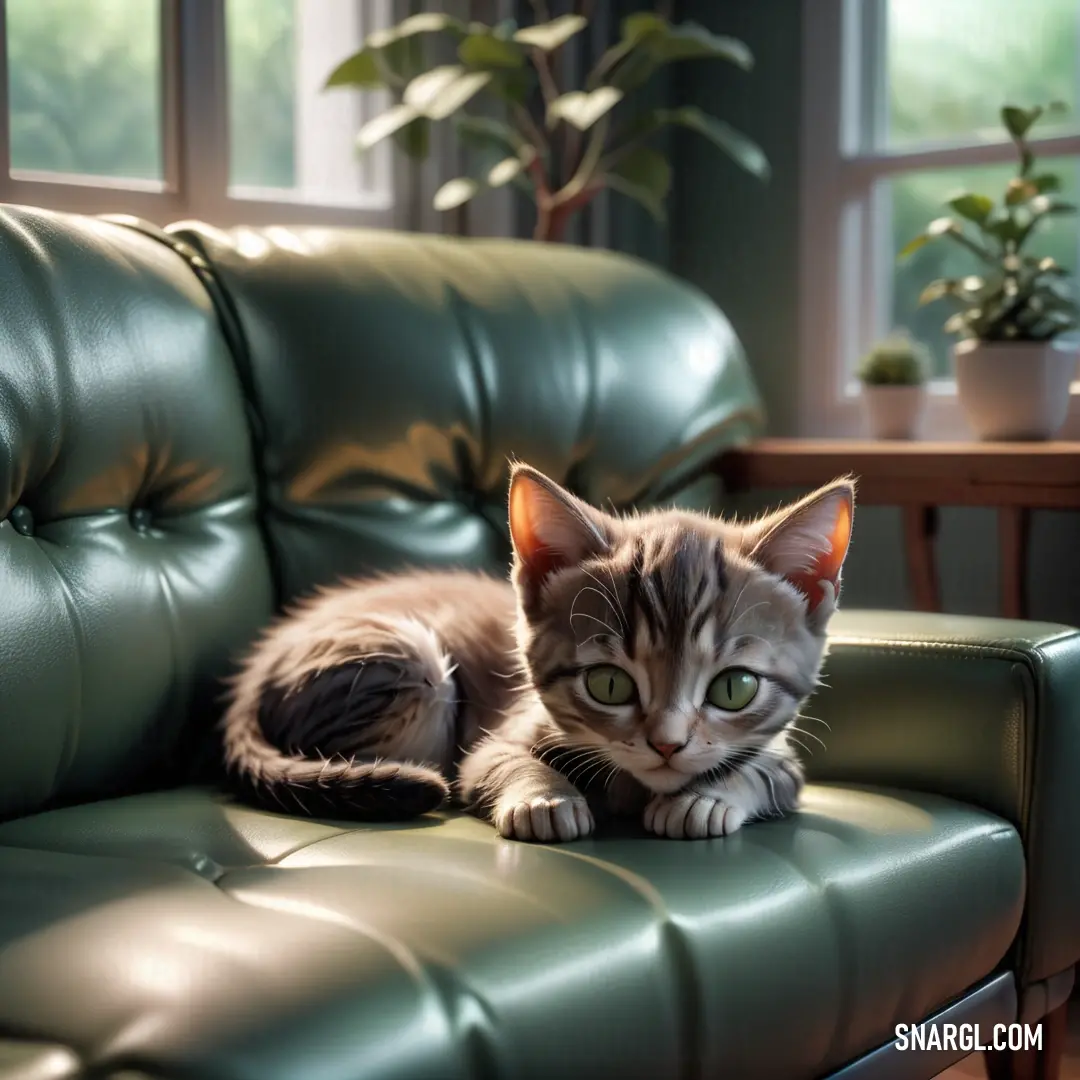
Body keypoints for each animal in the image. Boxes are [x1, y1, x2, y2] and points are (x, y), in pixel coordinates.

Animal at [223, 460, 855, 838]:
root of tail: (252, 676)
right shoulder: (493, 738)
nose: (667, 744)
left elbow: (765, 772)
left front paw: (708, 798)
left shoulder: (783, 755)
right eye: (608, 684)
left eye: (734, 687)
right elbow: (498, 761)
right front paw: (545, 797)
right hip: (409, 663)